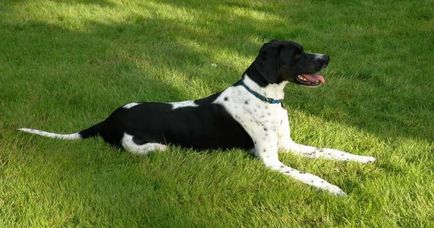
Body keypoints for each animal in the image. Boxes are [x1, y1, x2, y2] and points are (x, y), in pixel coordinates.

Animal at [18, 40, 374, 195]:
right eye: (296, 54)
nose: (327, 57)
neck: (265, 95)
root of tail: (108, 120)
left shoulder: (288, 145)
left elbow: (333, 152)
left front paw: (366, 159)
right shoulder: (271, 160)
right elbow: (310, 176)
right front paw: (335, 189)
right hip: (148, 147)